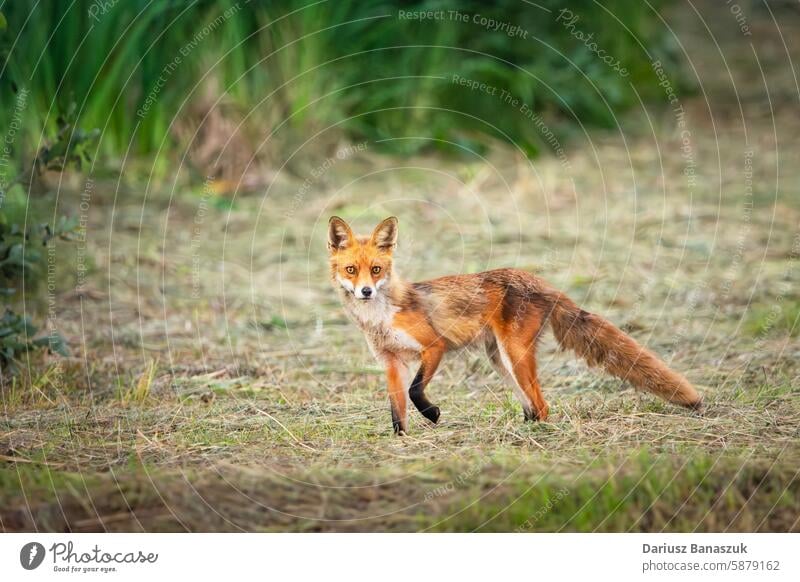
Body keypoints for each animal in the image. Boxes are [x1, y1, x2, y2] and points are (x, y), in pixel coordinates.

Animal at [328, 217, 704, 436]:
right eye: (351, 270)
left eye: (376, 270)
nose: (365, 291)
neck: (379, 317)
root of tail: (541, 281)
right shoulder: (391, 361)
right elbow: (397, 411)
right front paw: (402, 440)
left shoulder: (435, 346)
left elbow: (415, 391)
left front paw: (432, 414)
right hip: (500, 360)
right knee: (532, 407)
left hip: (515, 354)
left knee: (543, 406)